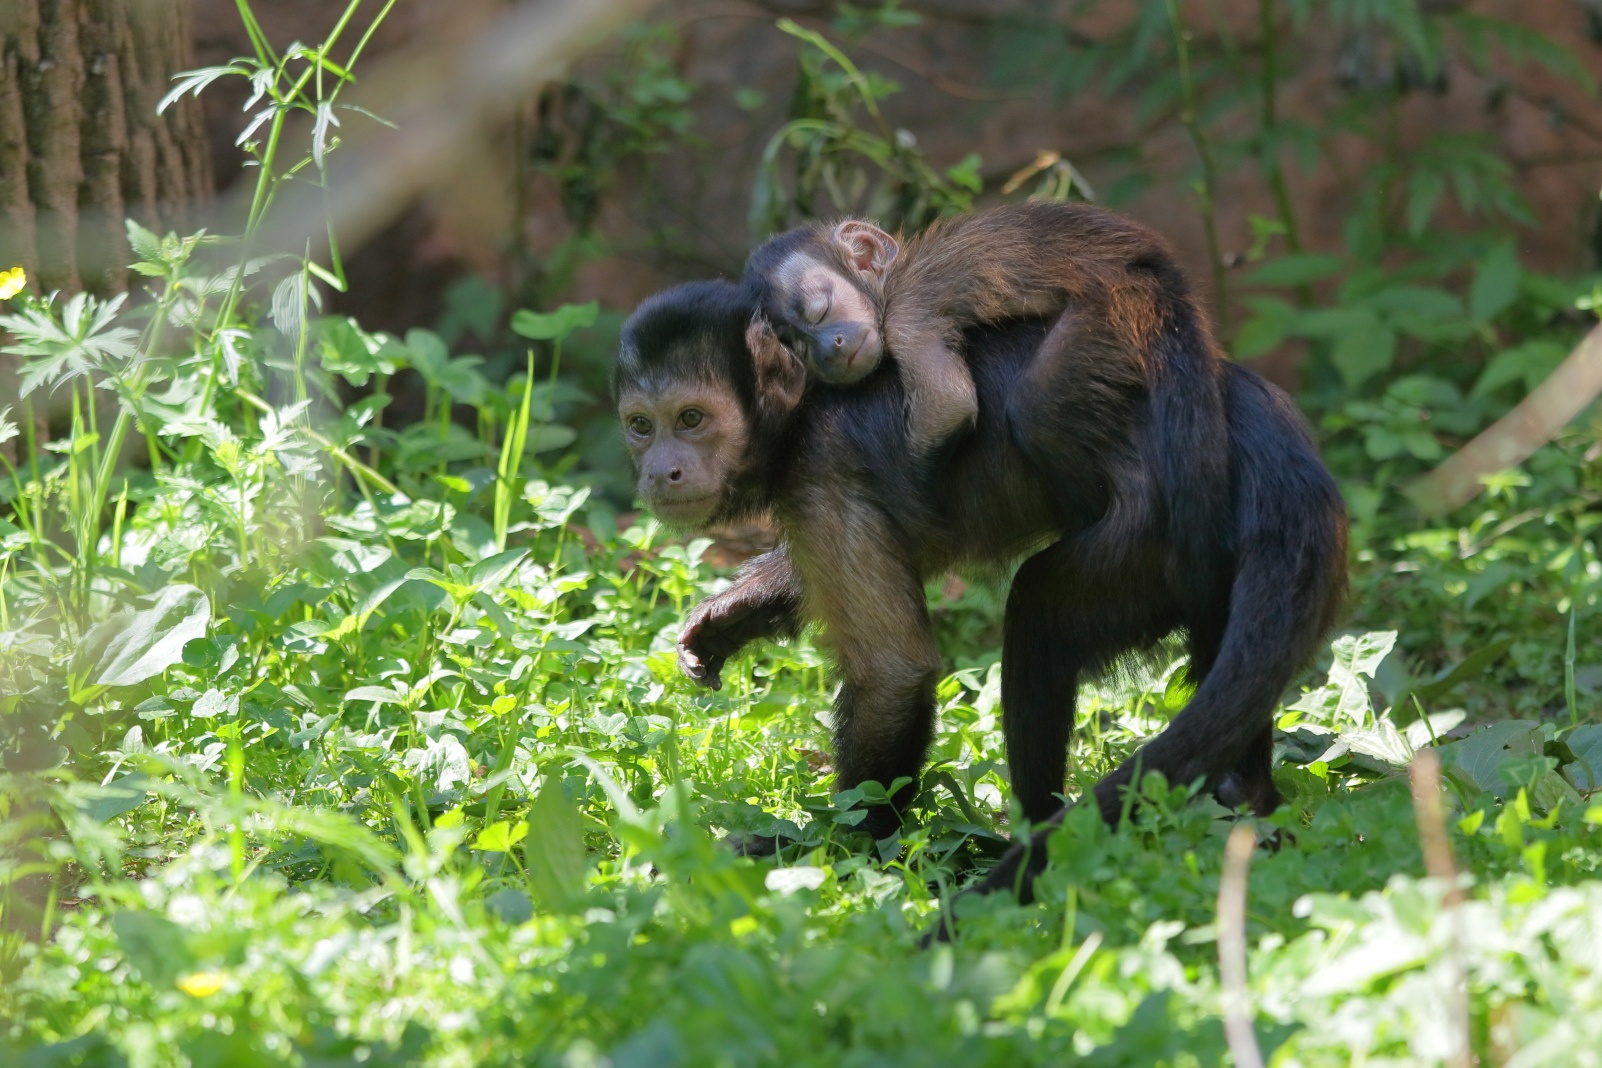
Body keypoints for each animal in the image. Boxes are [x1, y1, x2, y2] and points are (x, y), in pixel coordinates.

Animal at [743, 200, 1172, 454]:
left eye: (820, 311)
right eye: (800, 347)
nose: (827, 349)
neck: (894, 282)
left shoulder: (908, 311)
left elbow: (947, 407)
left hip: (1118, 309)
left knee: (1036, 408)